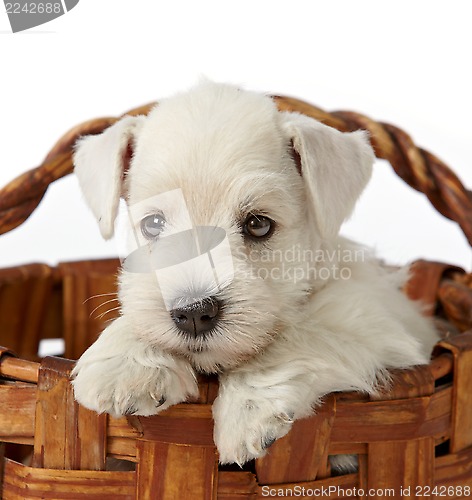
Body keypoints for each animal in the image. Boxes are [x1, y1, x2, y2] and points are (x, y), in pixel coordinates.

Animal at [71, 81, 438, 464]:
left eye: (259, 224)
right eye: (153, 224)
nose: (194, 313)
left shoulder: (375, 320)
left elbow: (301, 333)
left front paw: (245, 412)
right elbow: (139, 319)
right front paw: (128, 364)